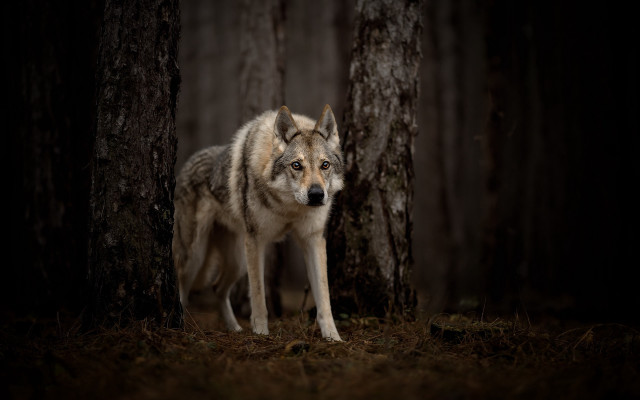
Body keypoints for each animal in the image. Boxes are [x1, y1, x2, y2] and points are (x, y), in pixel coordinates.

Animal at [173, 105, 343, 341]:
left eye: (324, 165)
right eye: (296, 165)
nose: (317, 195)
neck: (289, 206)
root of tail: (186, 164)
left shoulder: (313, 240)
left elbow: (324, 298)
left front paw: (333, 338)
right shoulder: (256, 241)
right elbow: (259, 296)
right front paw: (261, 333)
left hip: (237, 262)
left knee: (217, 288)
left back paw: (234, 328)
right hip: (196, 257)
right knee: (182, 287)